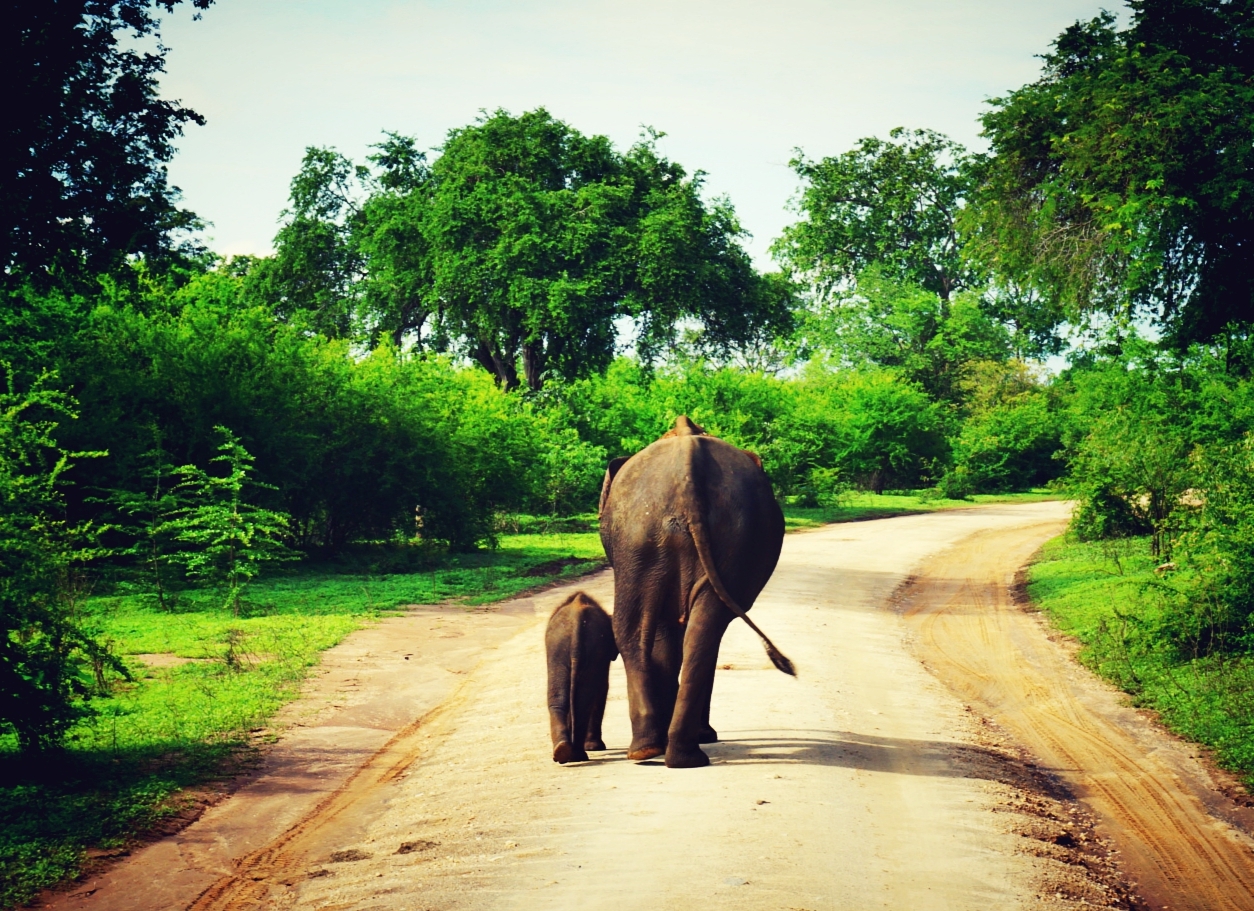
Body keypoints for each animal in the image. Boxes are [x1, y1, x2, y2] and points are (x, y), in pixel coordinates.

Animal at [544, 592, 616, 762]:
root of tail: (577, 619)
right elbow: (602, 688)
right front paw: (595, 748)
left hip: (559, 647)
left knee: (561, 698)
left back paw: (566, 753)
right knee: (583, 698)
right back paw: (575, 754)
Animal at [596, 416, 792, 772]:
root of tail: (687, 474)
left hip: (650, 539)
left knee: (661, 630)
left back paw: (662, 752)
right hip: (659, 539)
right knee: (689, 631)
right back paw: (668, 753)